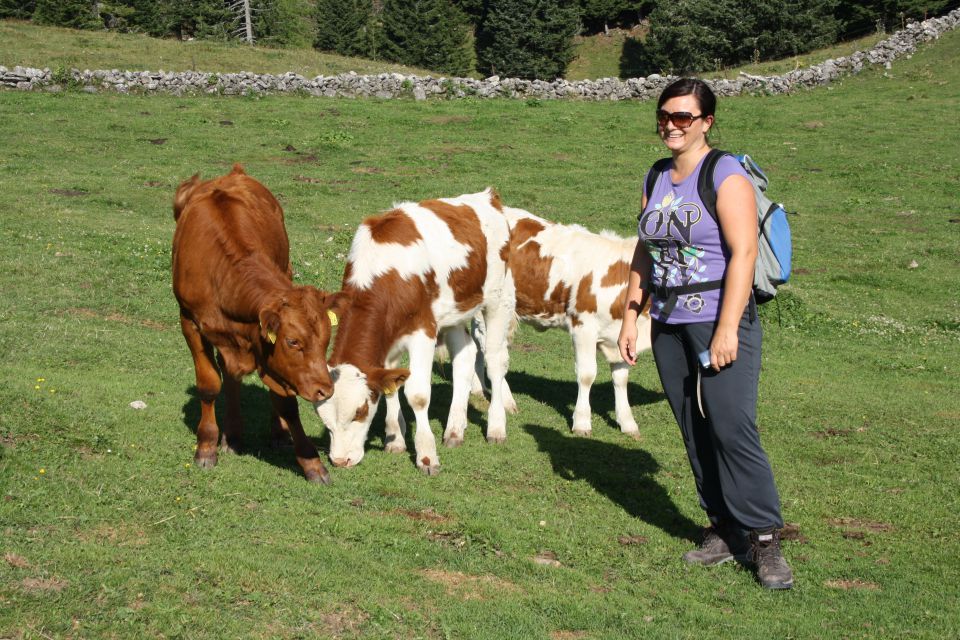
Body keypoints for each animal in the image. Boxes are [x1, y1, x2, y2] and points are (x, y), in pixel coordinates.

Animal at [172, 165, 348, 480]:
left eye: (326, 341)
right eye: (293, 341)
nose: (325, 390)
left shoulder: (269, 353)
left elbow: (286, 402)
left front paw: (311, 462)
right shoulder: (189, 321)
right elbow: (209, 384)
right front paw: (206, 447)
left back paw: (271, 434)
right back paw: (231, 435)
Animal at [316, 190, 512, 476]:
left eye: (360, 412)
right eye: (324, 419)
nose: (340, 461)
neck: (386, 270)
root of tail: (488, 196)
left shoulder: (423, 330)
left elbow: (418, 396)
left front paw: (426, 455)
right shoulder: (388, 339)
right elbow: (390, 387)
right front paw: (395, 439)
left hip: (497, 300)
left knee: (495, 360)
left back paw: (496, 426)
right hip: (454, 311)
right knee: (465, 356)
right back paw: (455, 429)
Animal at [476, 208, 656, 438]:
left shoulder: (622, 336)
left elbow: (621, 378)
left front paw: (627, 423)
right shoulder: (583, 327)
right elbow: (587, 375)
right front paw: (582, 422)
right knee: (490, 351)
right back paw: (506, 400)